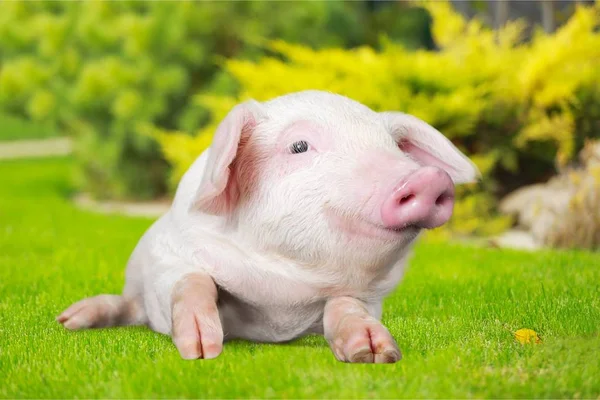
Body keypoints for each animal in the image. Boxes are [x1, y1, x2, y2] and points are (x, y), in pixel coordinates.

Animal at [56, 90, 478, 362]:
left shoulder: (366, 298)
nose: (428, 178)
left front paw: (375, 353)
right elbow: (192, 280)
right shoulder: (169, 256)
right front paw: (202, 349)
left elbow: (345, 306)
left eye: (391, 147)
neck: (280, 300)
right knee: (130, 306)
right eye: (299, 146)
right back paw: (70, 320)